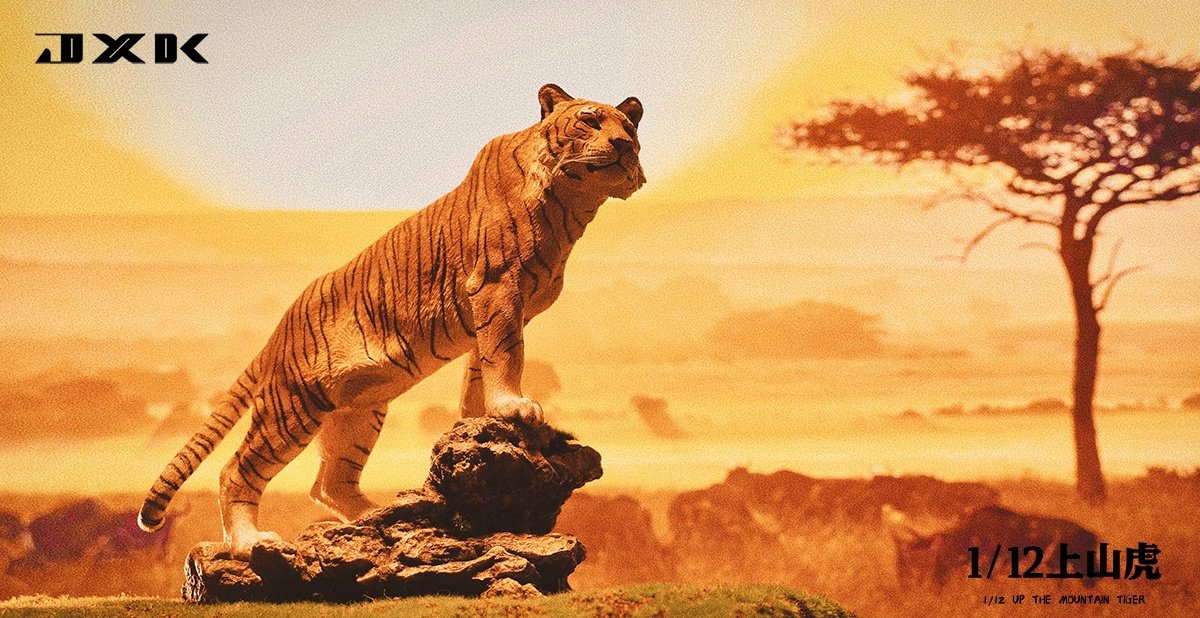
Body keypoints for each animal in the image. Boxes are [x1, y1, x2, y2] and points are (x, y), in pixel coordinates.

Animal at [138, 84, 645, 558]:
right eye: (589, 120)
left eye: (629, 127)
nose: (624, 145)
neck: (573, 205)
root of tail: (280, 328)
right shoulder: (497, 286)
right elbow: (506, 354)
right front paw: (514, 408)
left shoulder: (499, 305)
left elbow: (479, 370)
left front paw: (479, 419)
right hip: (293, 405)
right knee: (236, 470)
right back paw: (250, 542)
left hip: (357, 412)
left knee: (330, 483)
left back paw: (382, 517)